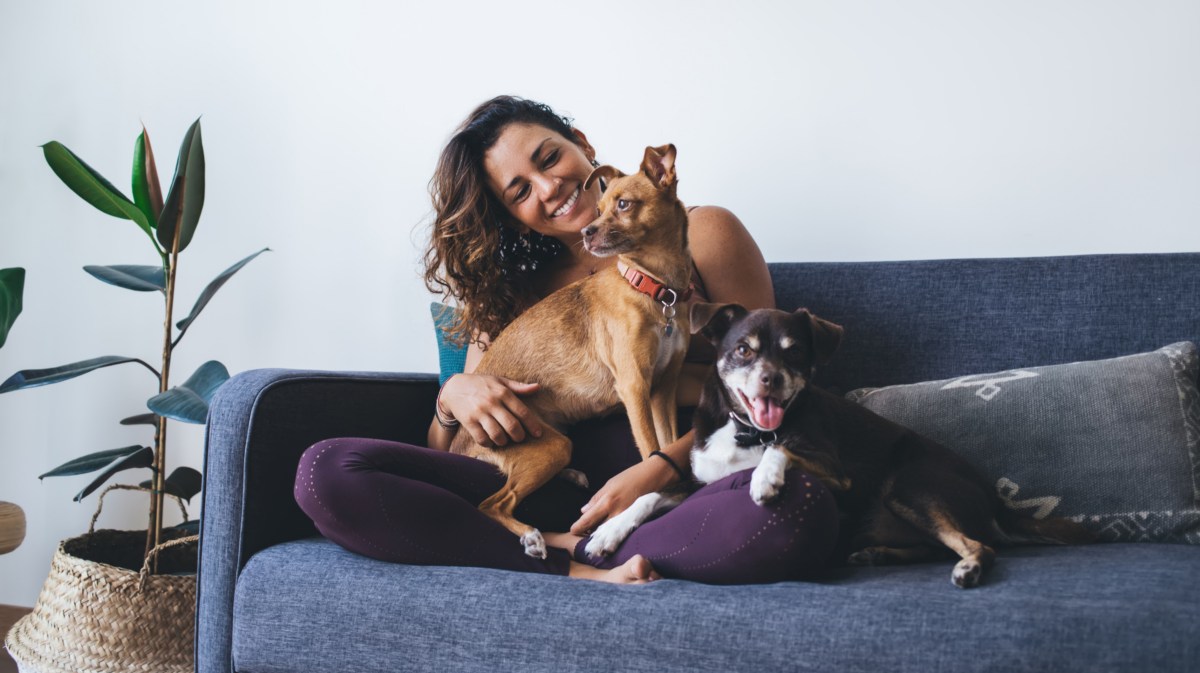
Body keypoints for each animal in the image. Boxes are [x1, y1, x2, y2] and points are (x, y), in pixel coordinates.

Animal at [451, 142, 696, 556]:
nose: (586, 231)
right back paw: (532, 536)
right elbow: (650, 451)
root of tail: (459, 445)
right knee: (491, 503)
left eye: (624, 204)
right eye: (599, 208)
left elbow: (668, 445)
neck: (653, 287)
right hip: (546, 447)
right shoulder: (635, 387)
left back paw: (571, 478)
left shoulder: (663, 389)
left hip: (553, 442)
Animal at [585, 302, 1094, 585]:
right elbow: (649, 495)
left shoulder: (836, 470)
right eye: (743, 350)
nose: (770, 379)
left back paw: (967, 568)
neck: (748, 429)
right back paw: (878, 554)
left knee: (978, 544)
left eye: (794, 352)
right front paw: (607, 531)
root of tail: (993, 497)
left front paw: (764, 479)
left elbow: (783, 448)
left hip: (910, 484)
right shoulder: (700, 483)